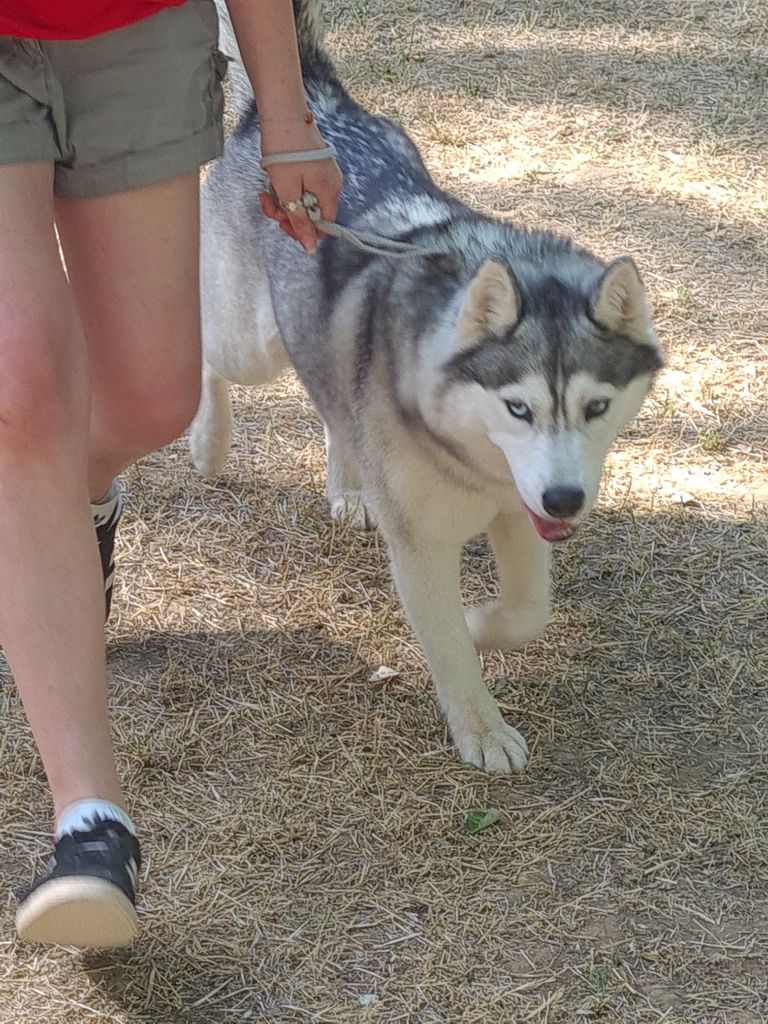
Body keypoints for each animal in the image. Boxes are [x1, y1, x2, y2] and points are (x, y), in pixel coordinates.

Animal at [189, 0, 663, 770]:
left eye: (597, 406)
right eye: (517, 408)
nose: (566, 498)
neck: (469, 451)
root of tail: (314, 101)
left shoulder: (519, 510)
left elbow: (528, 612)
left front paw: (481, 622)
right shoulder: (424, 546)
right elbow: (448, 649)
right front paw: (481, 727)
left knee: (336, 404)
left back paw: (350, 487)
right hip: (250, 343)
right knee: (204, 353)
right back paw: (208, 443)